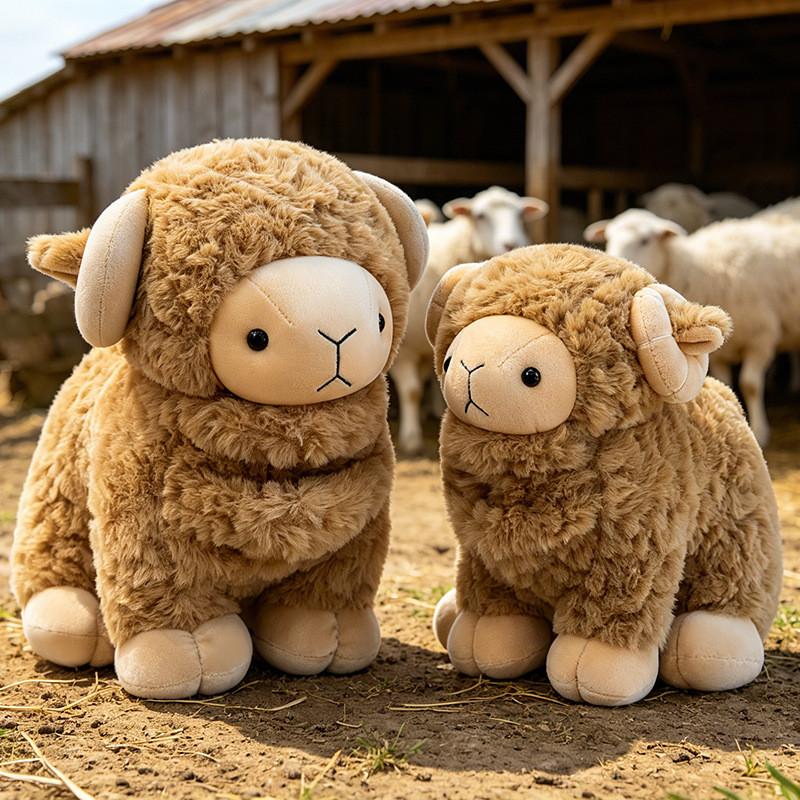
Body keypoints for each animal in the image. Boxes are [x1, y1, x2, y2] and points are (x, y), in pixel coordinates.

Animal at [391, 186, 548, 456]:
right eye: (480, 215)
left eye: (520, 215)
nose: (511, 243)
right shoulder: (406, 349)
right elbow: (412, 392)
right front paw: (411, 439)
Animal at [584, 209, 800, 446]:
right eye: (609, 238)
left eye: (645, 240)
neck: (701, 269)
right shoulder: (722, 352)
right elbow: (726, 383)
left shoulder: (761, 337)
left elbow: (750, 385)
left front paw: (760, 432)